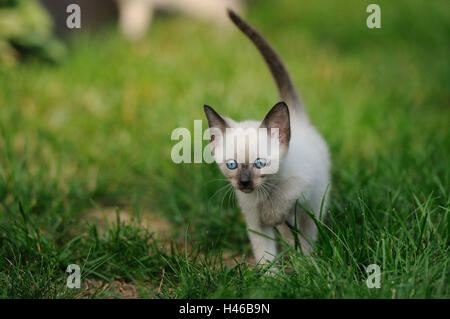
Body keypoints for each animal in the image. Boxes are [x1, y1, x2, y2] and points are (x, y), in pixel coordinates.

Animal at [204, 10, 330, 264]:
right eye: (231, 165)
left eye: (260, 163)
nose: (244, 182)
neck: (263, 195)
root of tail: (298, 118)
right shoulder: (254, 221)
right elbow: (265, 254)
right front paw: (271, 274)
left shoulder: (301, 183)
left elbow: (284, 197)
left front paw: (273, 215)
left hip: (315, 203)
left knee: (308, 233)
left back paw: (306, 261)